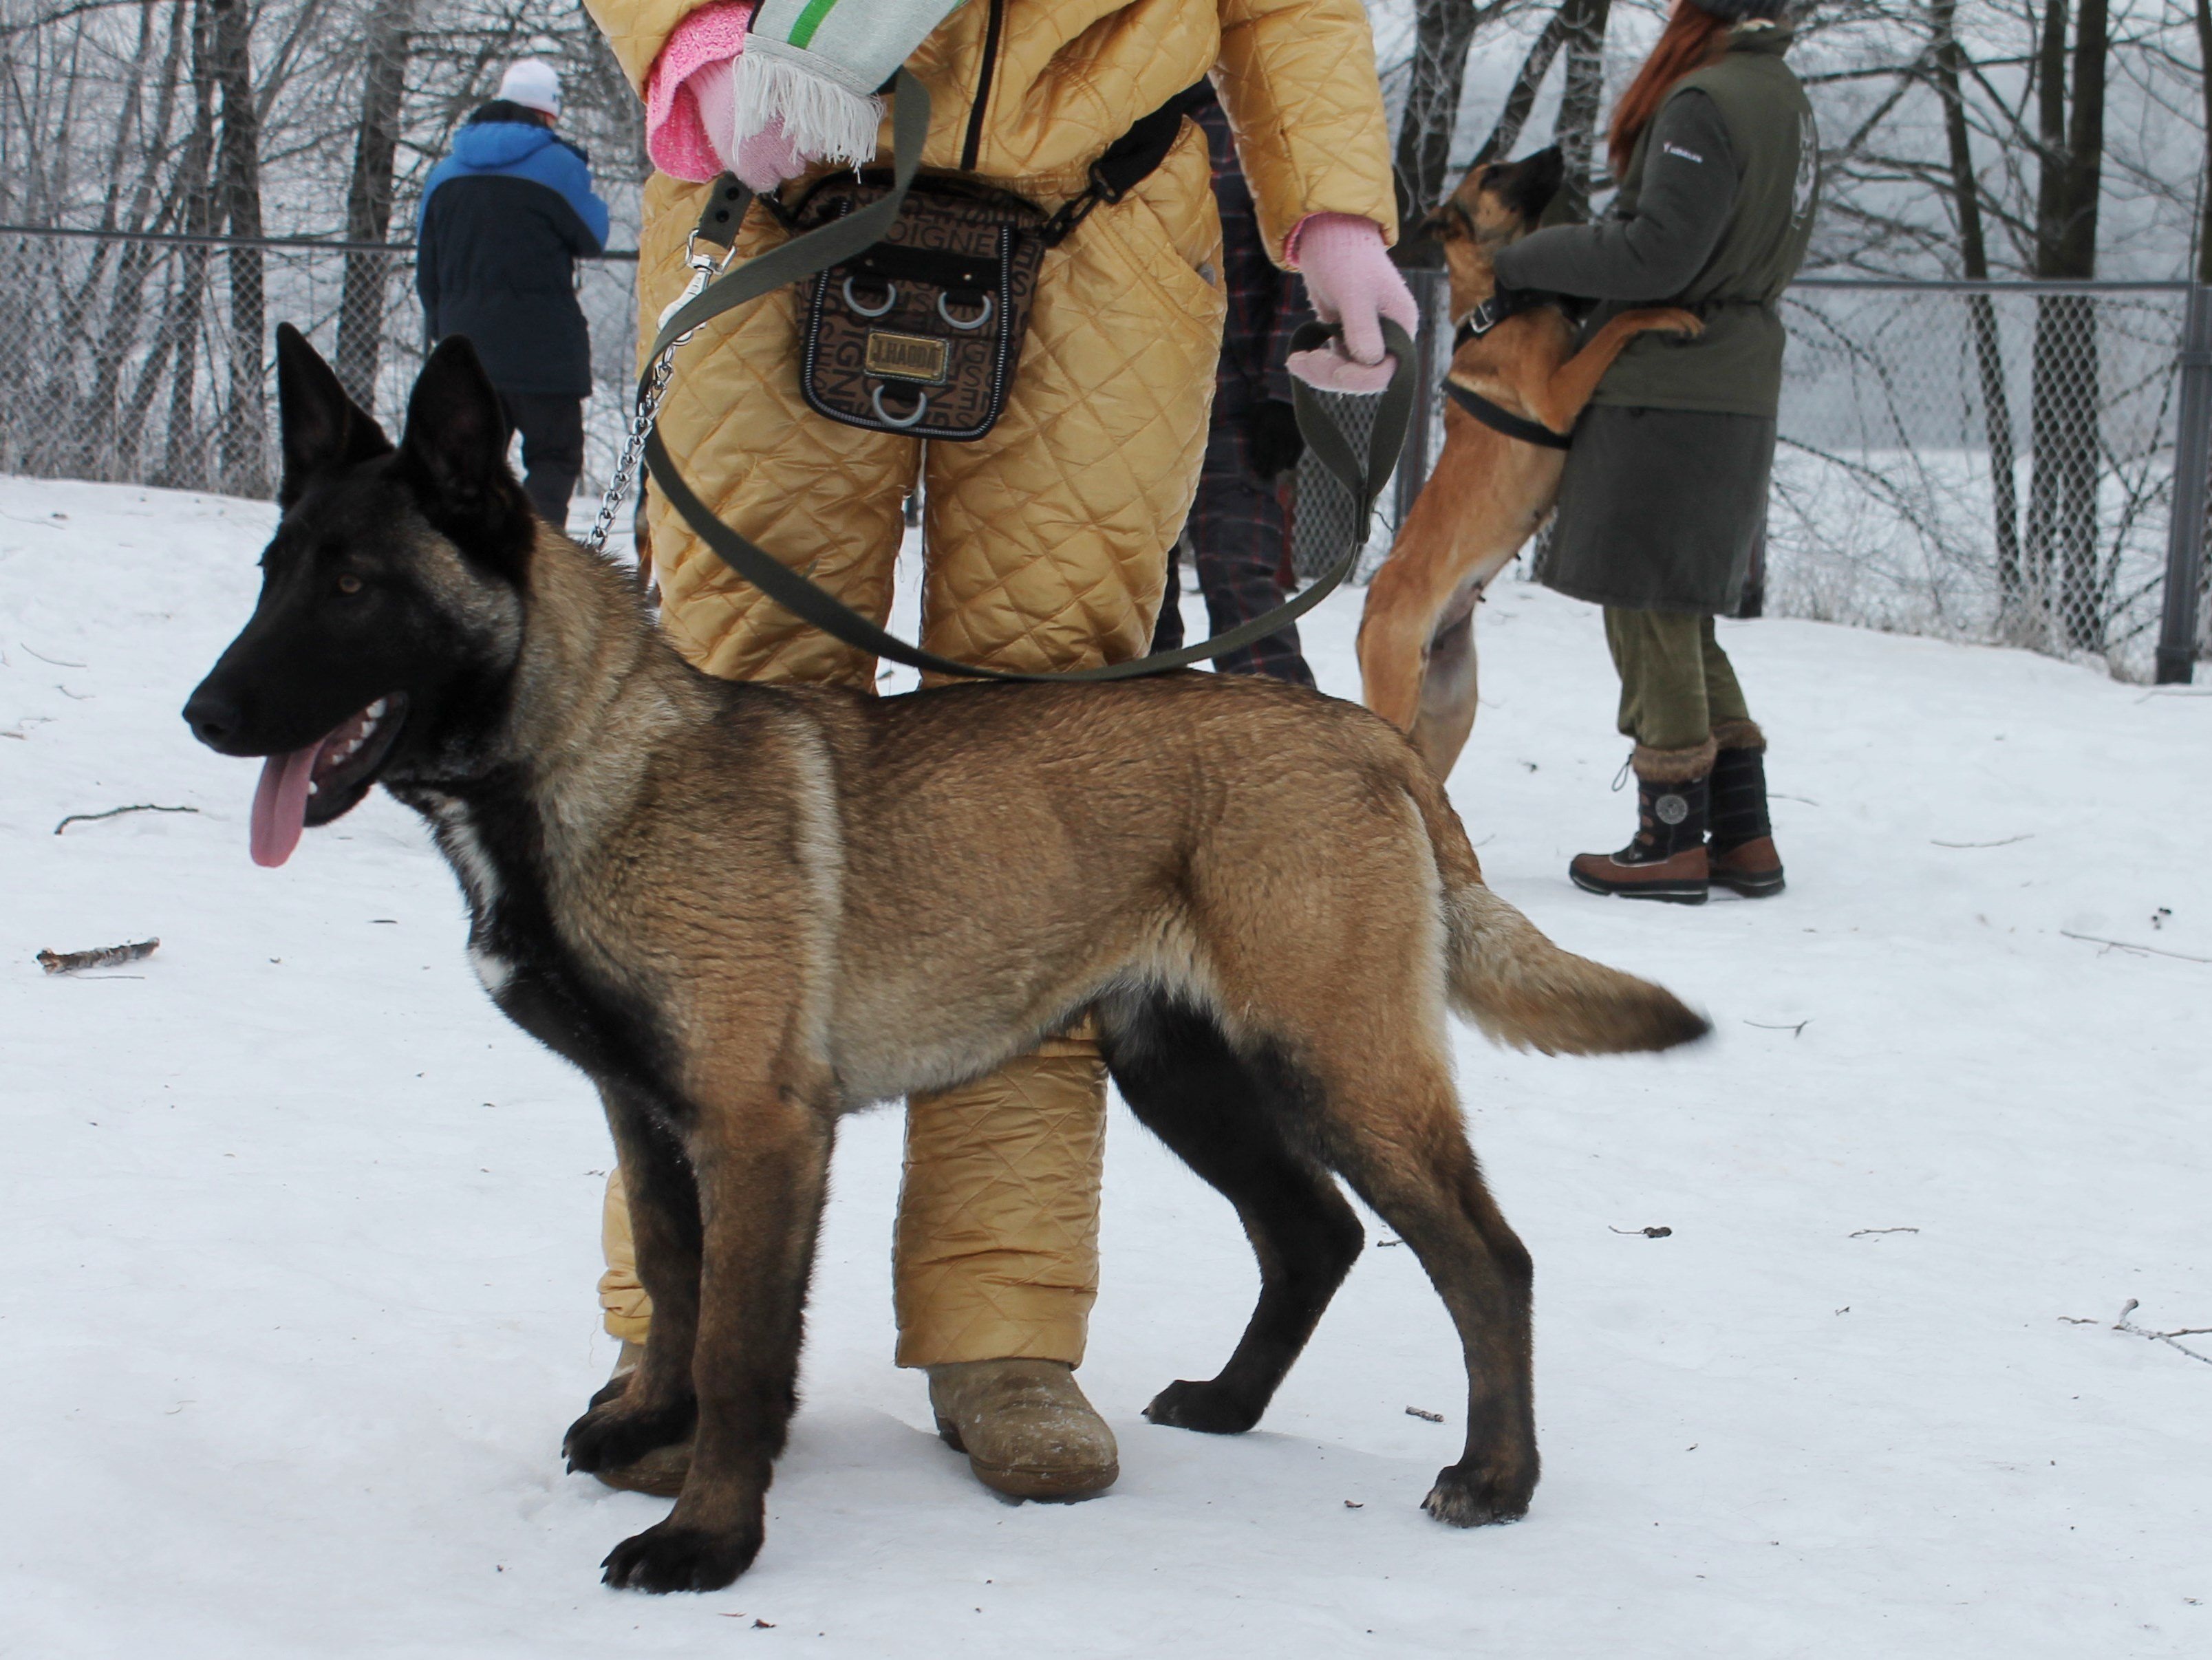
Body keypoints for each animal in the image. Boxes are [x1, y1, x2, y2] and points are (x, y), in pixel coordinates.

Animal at [190, 327, 1707, 1600]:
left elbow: (739, 1347)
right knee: (1312, 1235)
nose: (205, 713)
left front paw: (708, 1537)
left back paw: (1493, 1478)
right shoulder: (649, 1119)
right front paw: (653, 1427)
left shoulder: (760, 1133)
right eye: (274, 574)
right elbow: (676, 1291)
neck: (587, 762)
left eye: (353, 587)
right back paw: (1228, 1405)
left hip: (1337, 1065)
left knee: (1484, 1259)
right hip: (1187, 1072)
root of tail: (1367, 736)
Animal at [1353, 149, 1699, 777]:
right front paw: (1664, 313)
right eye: (1492, 174)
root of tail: (1367, 613)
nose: (1557, 154)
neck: (1498, 308)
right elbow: (1613, 328)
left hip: (1449, 713)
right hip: (1401, 696)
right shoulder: (1558, 398)